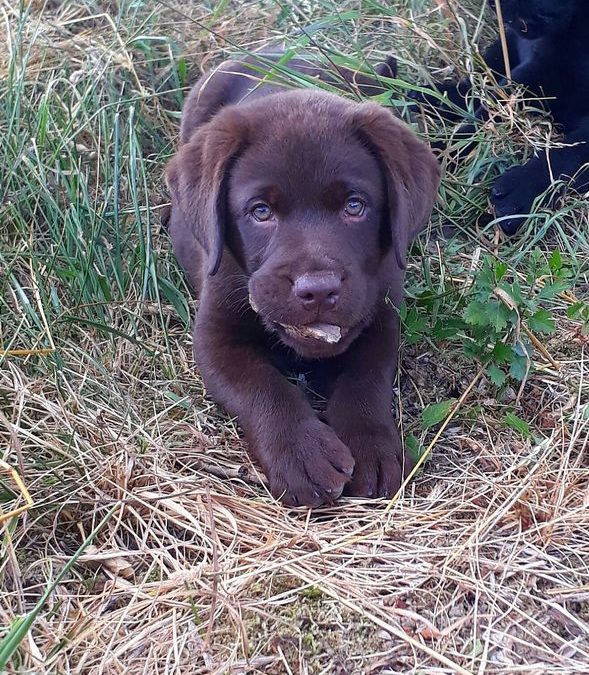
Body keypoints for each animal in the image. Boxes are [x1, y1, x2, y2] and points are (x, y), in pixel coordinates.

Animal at [414, 0, 588, 235]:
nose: (493, 5)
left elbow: (573, 153)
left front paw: (523, 191)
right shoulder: (539, 70)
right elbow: (485, 120)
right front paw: (438, 153)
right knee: (479, 83)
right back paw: (432, 97)